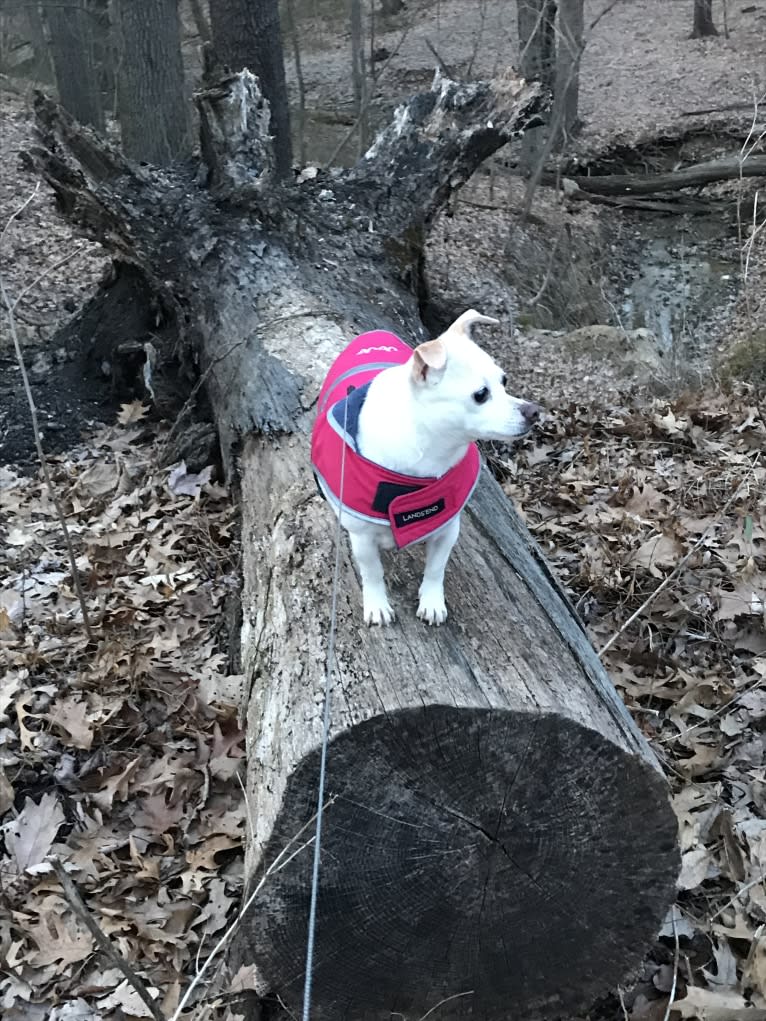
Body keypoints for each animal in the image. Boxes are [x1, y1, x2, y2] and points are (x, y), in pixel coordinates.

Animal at [310, 306, 539, 624]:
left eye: (504, 381)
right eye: (481, 394)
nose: (534, 411)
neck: (430, 448)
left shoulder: (448, 529)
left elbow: (435, 569)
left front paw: (431, 601)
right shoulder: (363, 539)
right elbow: (372, 573)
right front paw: (377, 604)